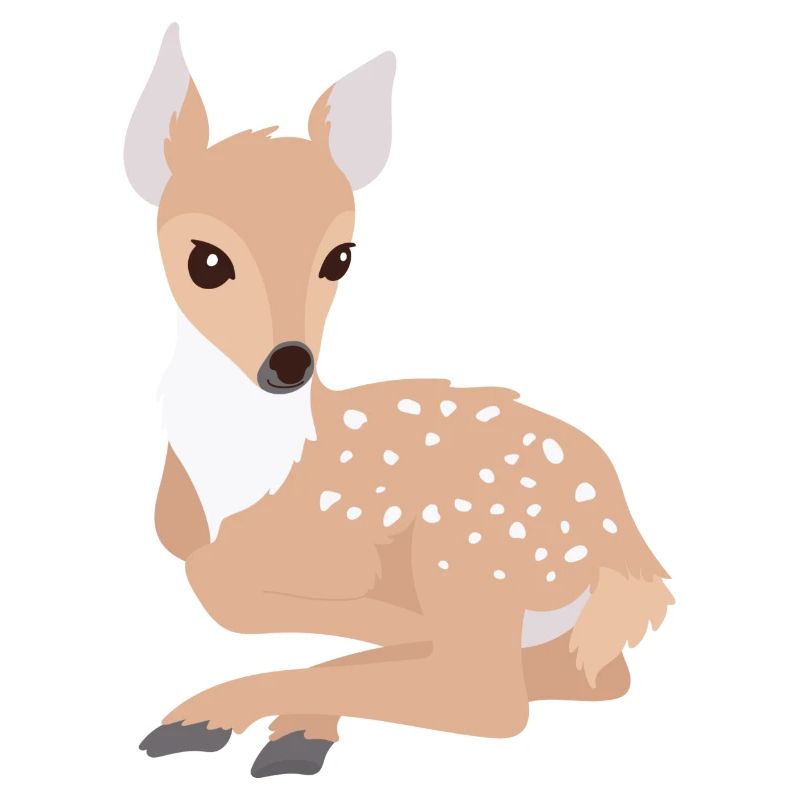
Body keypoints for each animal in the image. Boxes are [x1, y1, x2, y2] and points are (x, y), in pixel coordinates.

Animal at [126, 24, 674, 779]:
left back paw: (232, 720)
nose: (289, 364)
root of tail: (631, 553)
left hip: (468, 544)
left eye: (341, 255)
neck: (243, 480)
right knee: (589, 678)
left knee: (493, 699)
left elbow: (228, 589)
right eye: (205, 259)